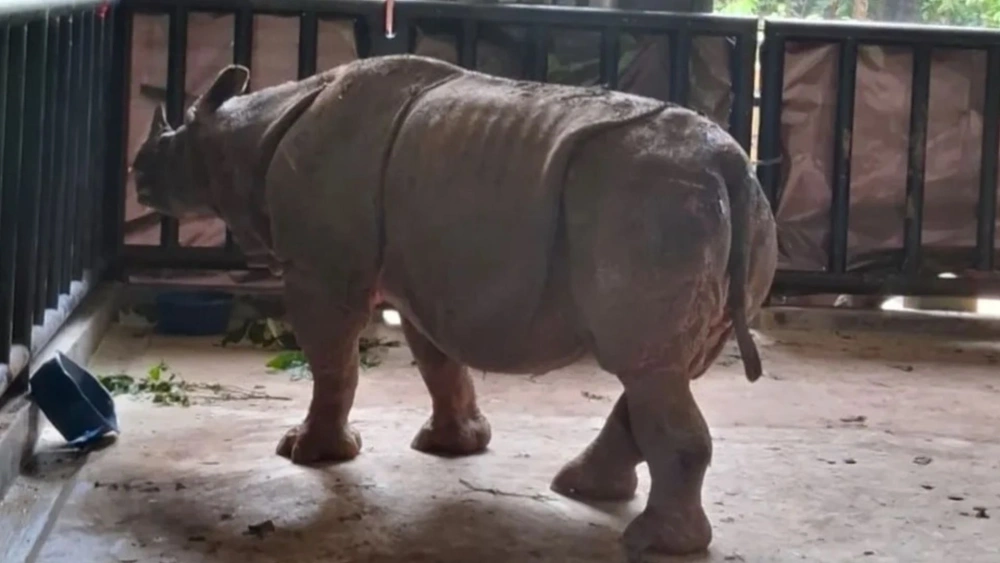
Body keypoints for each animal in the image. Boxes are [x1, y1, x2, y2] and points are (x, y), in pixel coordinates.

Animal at [132, 54, 778, 559]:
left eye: (171, 147)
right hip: (705, 210)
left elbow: (332, 364)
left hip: (651, 207)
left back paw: (650, 542)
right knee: (660, 370)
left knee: (646, 369)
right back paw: (582, 489)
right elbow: (437, 360)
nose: (137, 177)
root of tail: (728, 166)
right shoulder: (420, 277)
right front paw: (454, 445)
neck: (240, 134)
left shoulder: (321, 271)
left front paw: (308, 455)